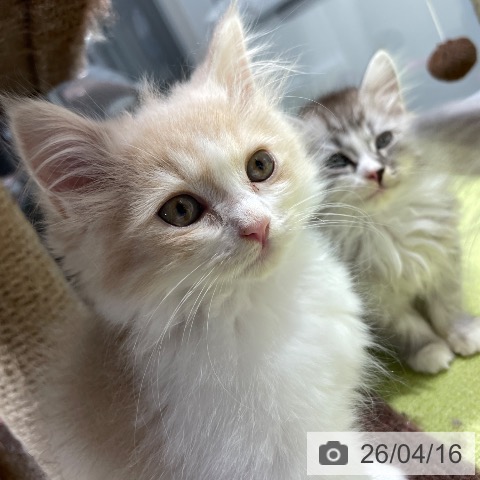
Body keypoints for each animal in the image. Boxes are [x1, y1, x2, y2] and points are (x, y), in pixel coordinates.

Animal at [300, 50, 480, 374]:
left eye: (383, 140)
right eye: (338, 161)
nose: (376, 172)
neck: (388, 223)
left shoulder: (444, 262)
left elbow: (447, 307)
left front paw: (463, 333)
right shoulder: (378, 301)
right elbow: (410, 327)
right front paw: (430, 351)